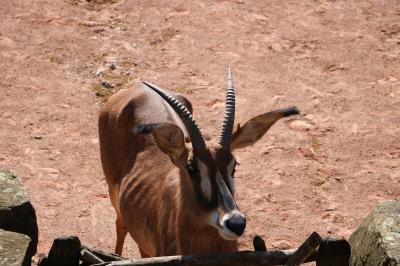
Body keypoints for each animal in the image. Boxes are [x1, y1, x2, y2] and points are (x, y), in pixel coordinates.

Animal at [98, 68, 298, 258]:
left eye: (233, 166)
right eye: (191, 167)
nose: (235, 223)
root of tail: (137, 89)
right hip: (113, 194)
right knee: (121, 224)